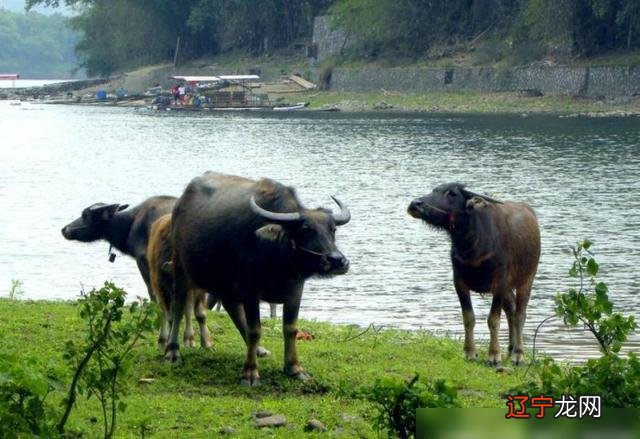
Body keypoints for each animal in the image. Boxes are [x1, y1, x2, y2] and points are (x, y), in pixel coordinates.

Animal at [165, 172, 350, 384]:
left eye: (333, 229)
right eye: (305, 229)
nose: (338, 260)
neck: (278, 258)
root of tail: (179, 205)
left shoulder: (295, 291)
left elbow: (290, 329)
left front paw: (294, 368)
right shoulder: (250, 291)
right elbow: (255, 330)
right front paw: (250, 372)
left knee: (232, 309)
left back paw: (260, 350)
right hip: (181, 269)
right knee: (178, 307)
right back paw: (172, 351)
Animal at [408, 182, 536, 364]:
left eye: (451, 193)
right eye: (434, 190)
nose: (415, 204)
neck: (473, 245)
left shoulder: (500, 283)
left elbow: (493, 320)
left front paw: (494, 355)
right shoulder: (459, 283)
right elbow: (469, 318)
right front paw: (470, 352)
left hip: (527, 279)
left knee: (520, 315)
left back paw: (518, 354)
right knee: (511, 310)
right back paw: (510, 349)